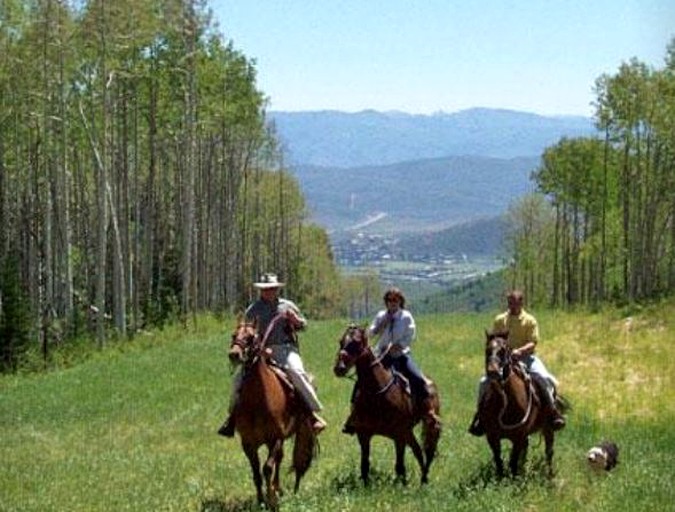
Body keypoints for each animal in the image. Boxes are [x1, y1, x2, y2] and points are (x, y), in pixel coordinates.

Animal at [227, 320, 316, 508]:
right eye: (233, 335)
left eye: (251, 337)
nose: (234, 354)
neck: (257, 401)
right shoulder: (248, 443)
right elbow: (256, 472)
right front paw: (261, 500)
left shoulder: (275, 438)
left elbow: (267, 468)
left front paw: (271, 500)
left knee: (283, 460)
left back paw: (280, 489)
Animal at [334, 324, 444, 484]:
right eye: (341, 341)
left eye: (357, 342)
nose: (339, 368)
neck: (376, 394)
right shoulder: (363, 434)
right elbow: (365, 465)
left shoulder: (399, 435)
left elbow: (400, 466)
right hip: (409, 432)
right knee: (418, 450)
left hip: (428, 425)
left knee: (428, 450)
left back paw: (424, 479)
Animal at [484, 330, 564, 478]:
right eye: (487, 350)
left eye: (503, 350)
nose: (492, 371)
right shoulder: (492, 436)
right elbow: (499, 460)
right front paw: (501, 478)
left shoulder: (518, 436)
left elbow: (512, 461)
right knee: (526, 450)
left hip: (548, 428)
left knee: (549, 451)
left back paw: (549, 476)